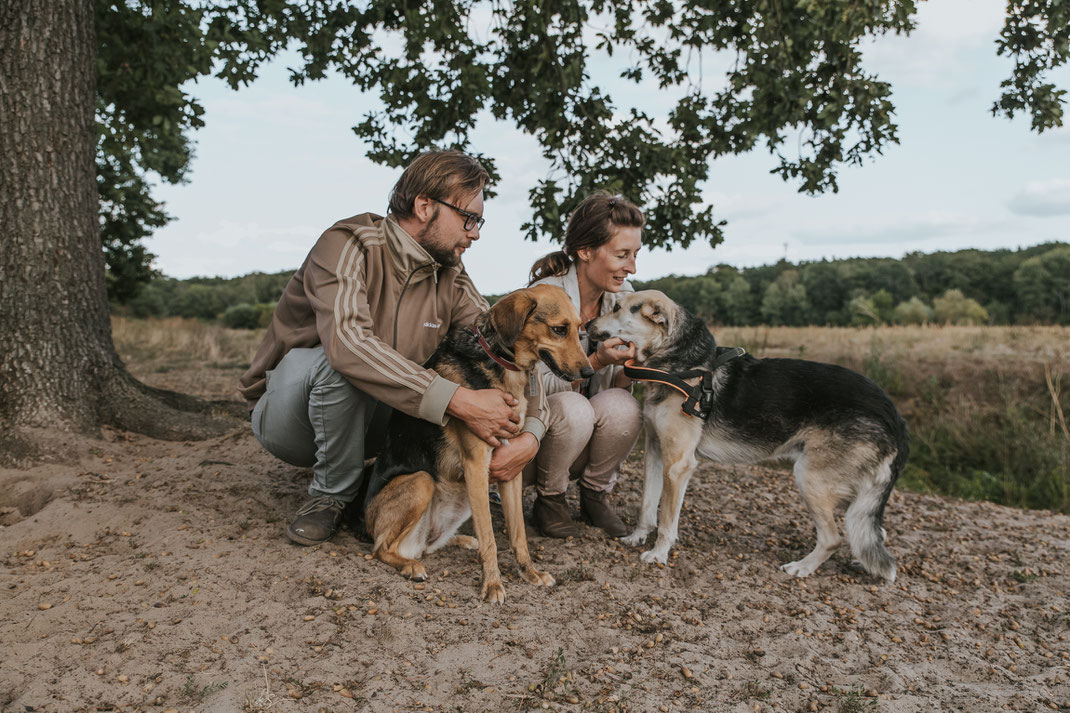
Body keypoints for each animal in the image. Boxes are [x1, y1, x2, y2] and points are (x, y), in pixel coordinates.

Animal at [359, 282, 594, 599]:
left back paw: (460, 541)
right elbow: (491, 538)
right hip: (422, 481)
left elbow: (518, 534)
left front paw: (529, 573)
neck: (497, 360)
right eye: (559, 329)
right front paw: (492, 584)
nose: (589, 373)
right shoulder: (476, 463)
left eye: (579, 328)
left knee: (427, 546)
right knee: (381, 548)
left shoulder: (511, 467)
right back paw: (410, 566)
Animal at [590, 286, 907, 578]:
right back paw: (860, 562)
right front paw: (637, 537)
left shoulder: (678, 464)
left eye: (616, 307)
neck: (677, 364)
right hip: (853, 491)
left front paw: (658, 554)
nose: (588, 324)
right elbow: (647, 505)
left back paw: (802, 567)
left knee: (834, 538)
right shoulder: (656, 452)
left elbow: (667, 519)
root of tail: (895, 417)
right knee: (872, 532)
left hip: (811, 478)